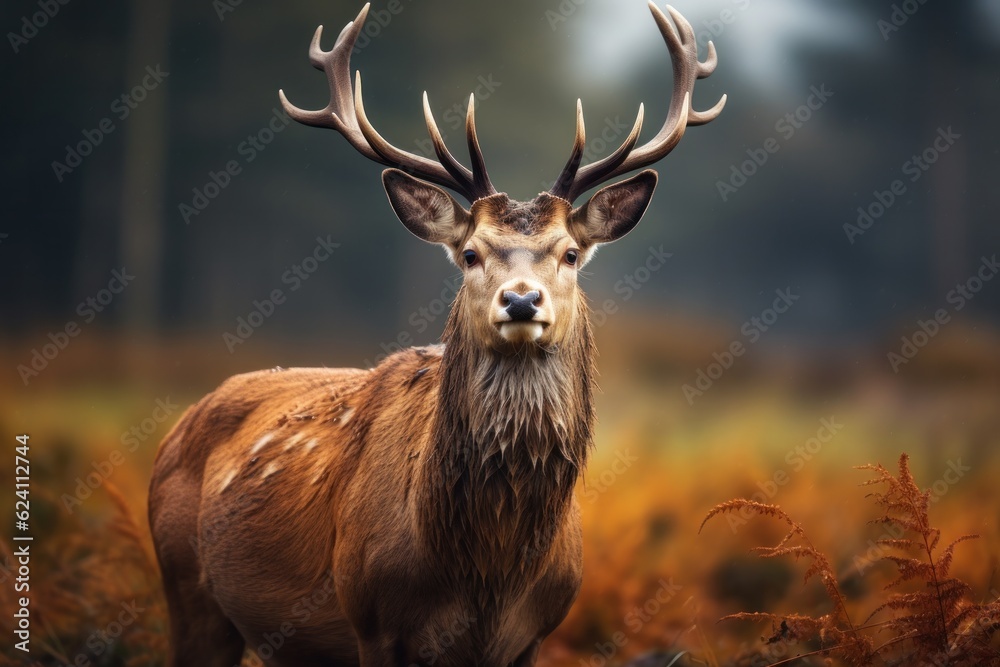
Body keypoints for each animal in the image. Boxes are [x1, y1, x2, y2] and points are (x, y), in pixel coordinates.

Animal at [148, 3, 724, 666]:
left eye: (571, 253)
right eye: (471, 253)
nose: (521, 299)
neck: (486, 579)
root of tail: (175, 431)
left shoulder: (537, 632)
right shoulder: (371, 620)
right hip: (186, 586)